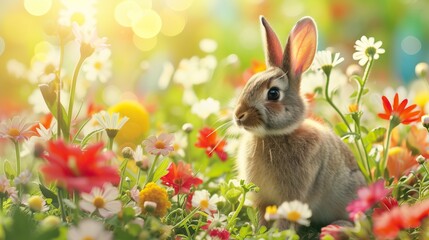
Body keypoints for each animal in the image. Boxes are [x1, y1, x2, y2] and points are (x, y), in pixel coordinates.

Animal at [234, 15, 364, 230]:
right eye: (249, 83)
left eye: (273, 93)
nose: (238, 115)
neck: (275, 135)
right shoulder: (263, 199)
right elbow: (262, 216)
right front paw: (259, 231)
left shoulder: (293, 196)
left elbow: (287, 219)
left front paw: (277, 233)